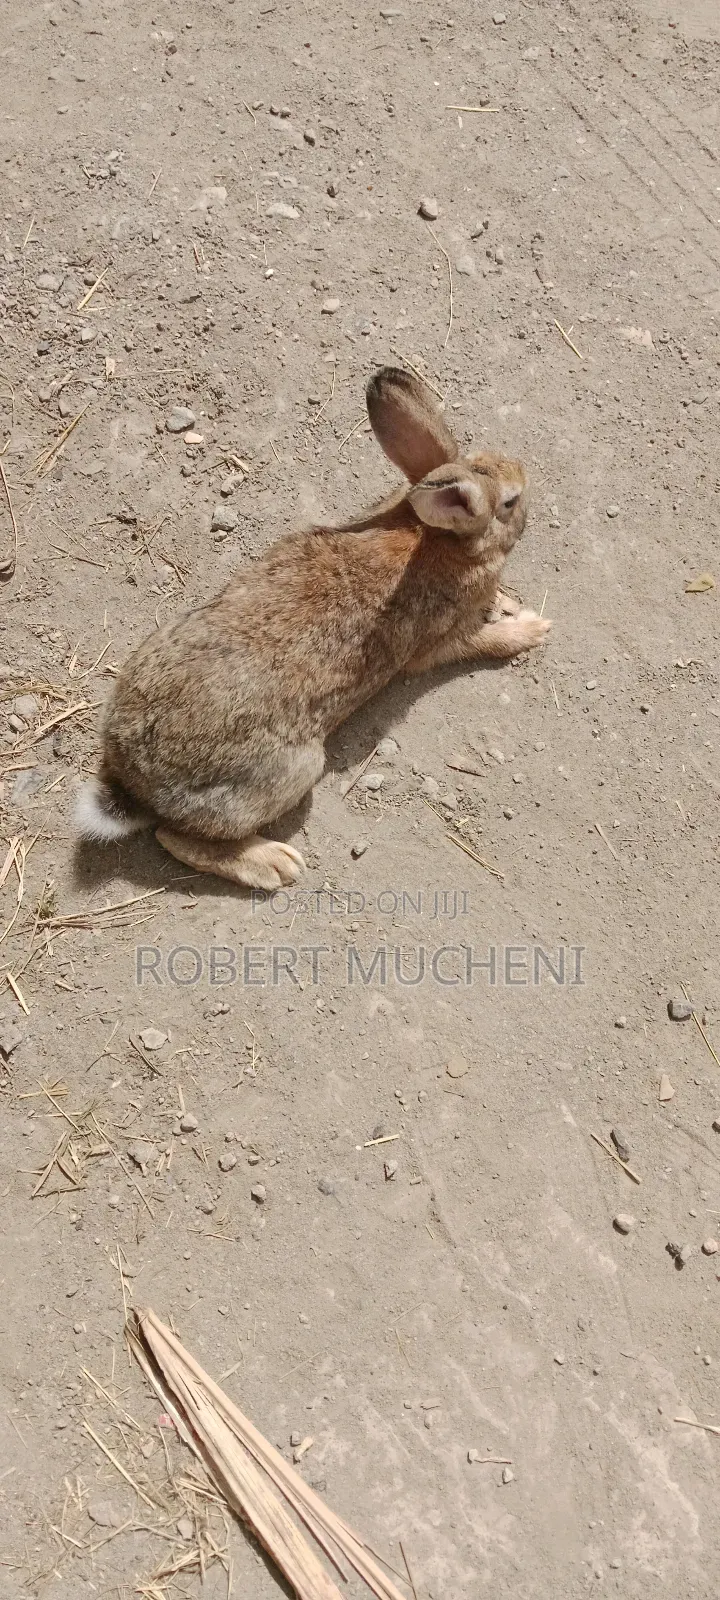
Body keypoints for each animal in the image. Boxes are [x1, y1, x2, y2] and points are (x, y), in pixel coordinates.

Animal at [75, 366, 551, 889]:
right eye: (511, 501)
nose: (525, 473)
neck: (441, 538)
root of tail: (135, 783)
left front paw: (510, 604)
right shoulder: (439, 642)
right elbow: (479, 641)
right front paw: (533, 628)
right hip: (294, 769)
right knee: (176, 838)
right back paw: (274, 863)